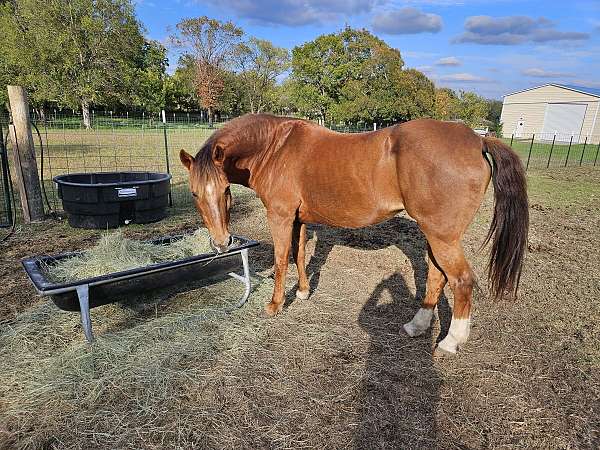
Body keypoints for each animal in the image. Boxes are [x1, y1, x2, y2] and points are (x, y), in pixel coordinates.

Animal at [180, 113, 528, 356]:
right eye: (195, 193)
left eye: (225, 190)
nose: (221, 243)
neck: (276, 148)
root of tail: (477, 141)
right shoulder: (299, 219)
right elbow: (299, 254)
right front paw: (303, 292)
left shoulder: (280, 216)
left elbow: (281, 259)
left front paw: (276, 305)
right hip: (436, 235)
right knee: (436, 276)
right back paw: (416, 326)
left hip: (442, 237)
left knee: (461, 281)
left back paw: (450, 342)